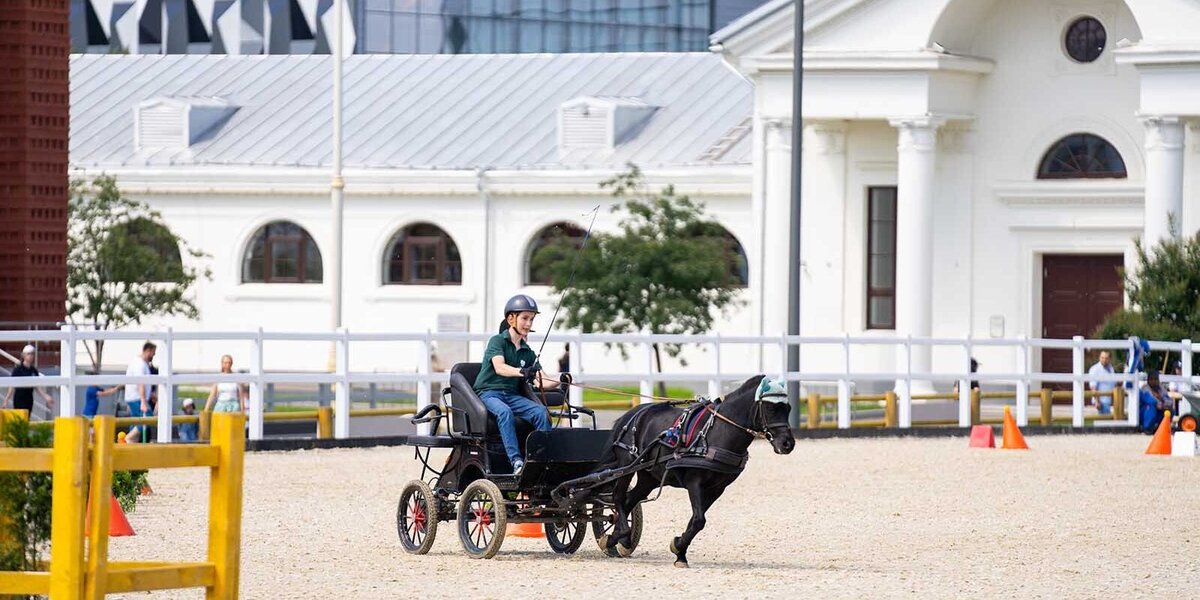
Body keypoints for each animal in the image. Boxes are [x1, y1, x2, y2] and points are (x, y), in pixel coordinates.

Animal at [592, 374, 796, 566]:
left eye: (788, 408)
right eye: (770, 408)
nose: (788, 444)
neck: (719, 432)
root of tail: (632, 413)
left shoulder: (717, 488)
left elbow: (696, 520)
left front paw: (680, 550)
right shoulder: (694, 482)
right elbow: (699, 520)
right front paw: (679, 547)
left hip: (649, 476)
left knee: (629, 500)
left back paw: (615, 539)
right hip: (627, 464)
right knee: (619, 496)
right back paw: (618, 535)